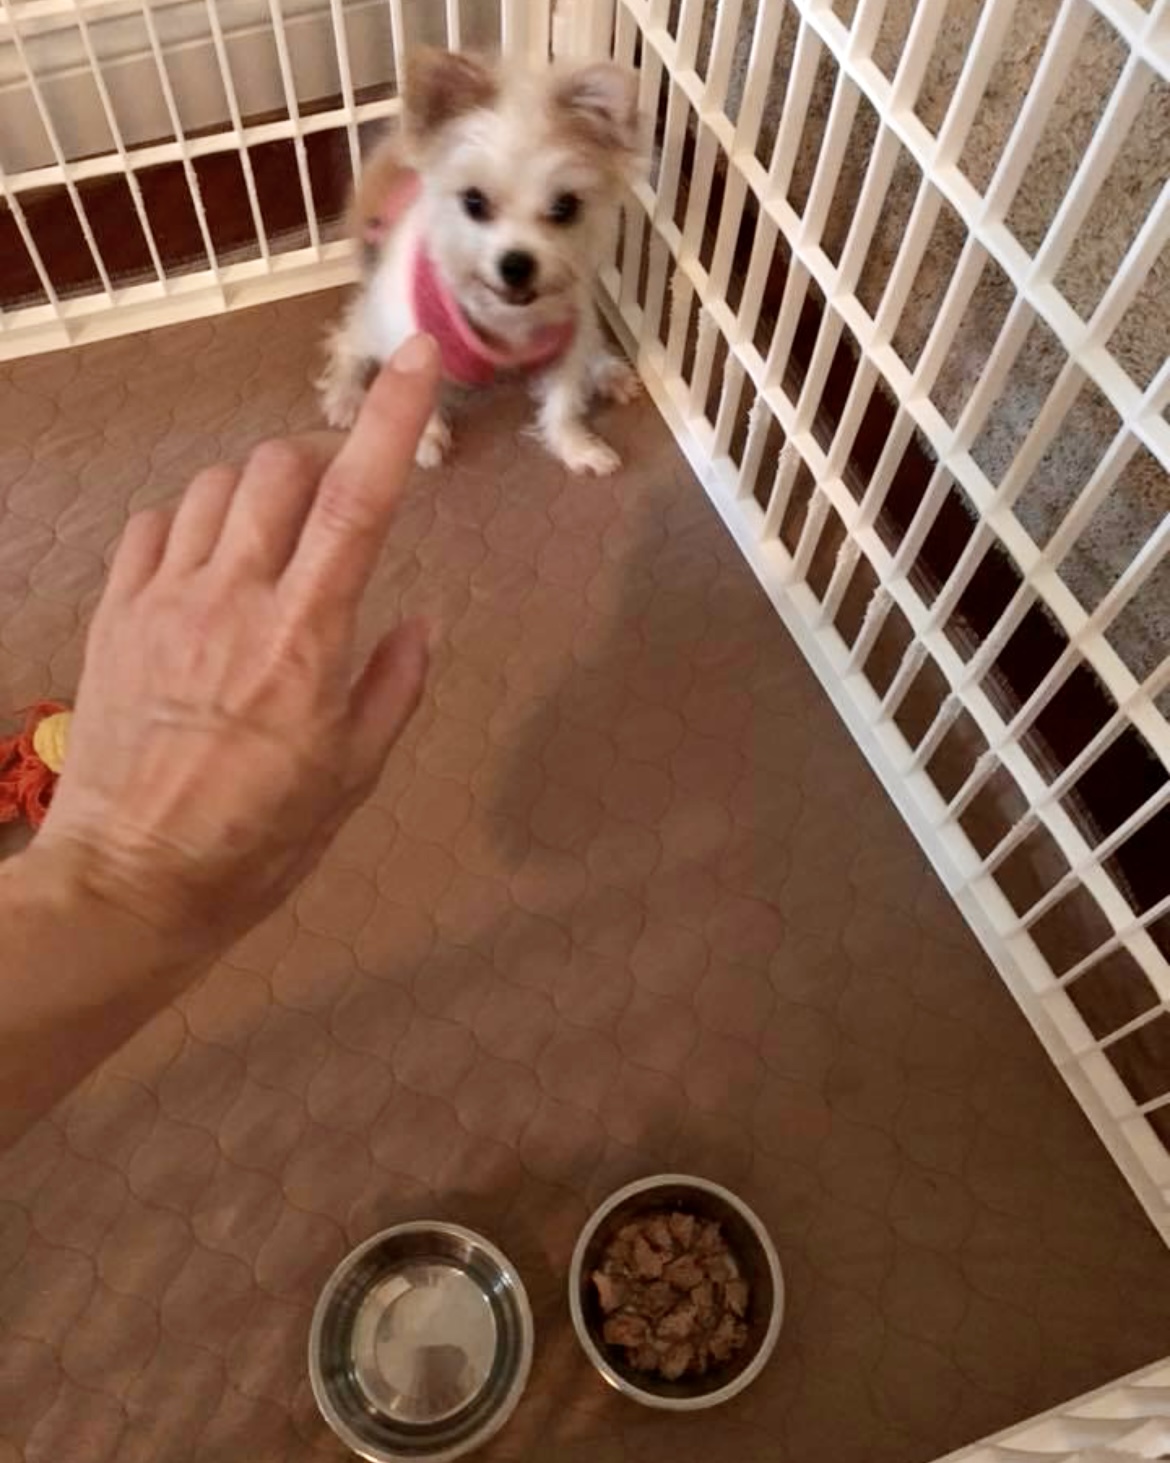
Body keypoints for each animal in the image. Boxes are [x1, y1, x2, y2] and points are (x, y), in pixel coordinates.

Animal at [317, 48, 640, 474]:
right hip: (374, 317)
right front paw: (427, 438)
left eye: (565, 207)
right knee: (348, 341)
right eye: (474, 201)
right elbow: (417, 394)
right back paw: (345, 396)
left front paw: (577, 446)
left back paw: (609, 372)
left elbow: (564, 401)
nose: (516, 264)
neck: (505, 320)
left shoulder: (568, 341)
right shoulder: (411, 341)